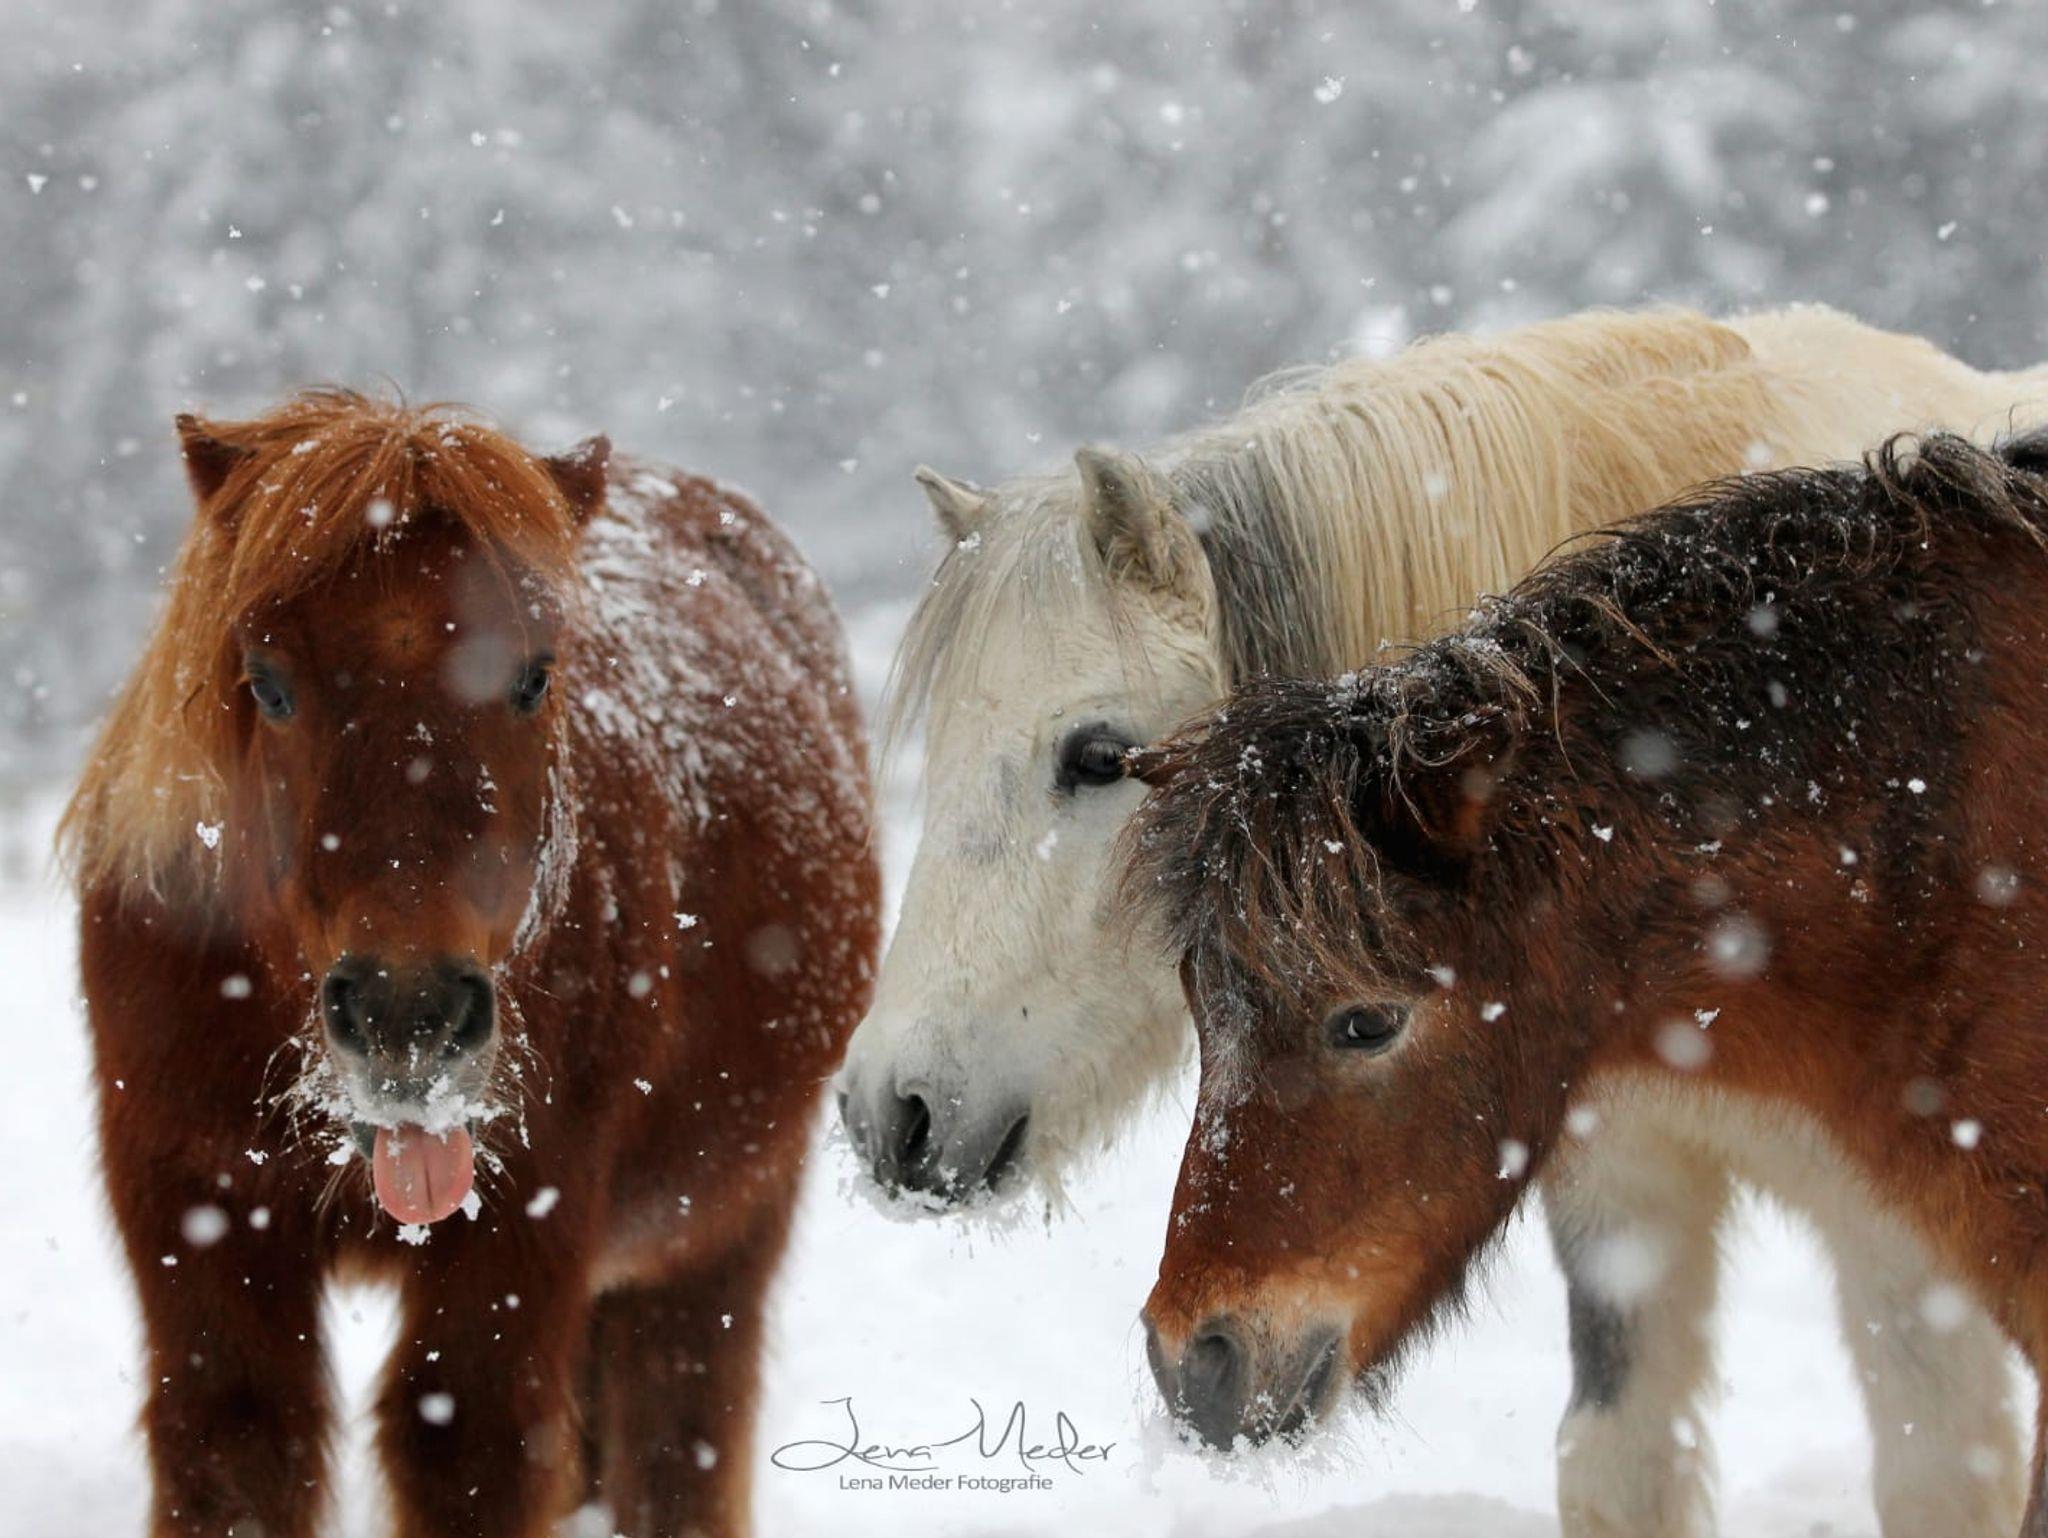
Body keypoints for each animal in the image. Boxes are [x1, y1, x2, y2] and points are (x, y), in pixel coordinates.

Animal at [58, 391, 880, 1538]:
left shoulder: (524, 1242)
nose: (407, 1014)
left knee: (678, 1432)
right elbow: (236, 1446)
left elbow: (464, 1442)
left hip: (717, 1233)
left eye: (532, 676)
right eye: (266, 681)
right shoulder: (194, 1216)